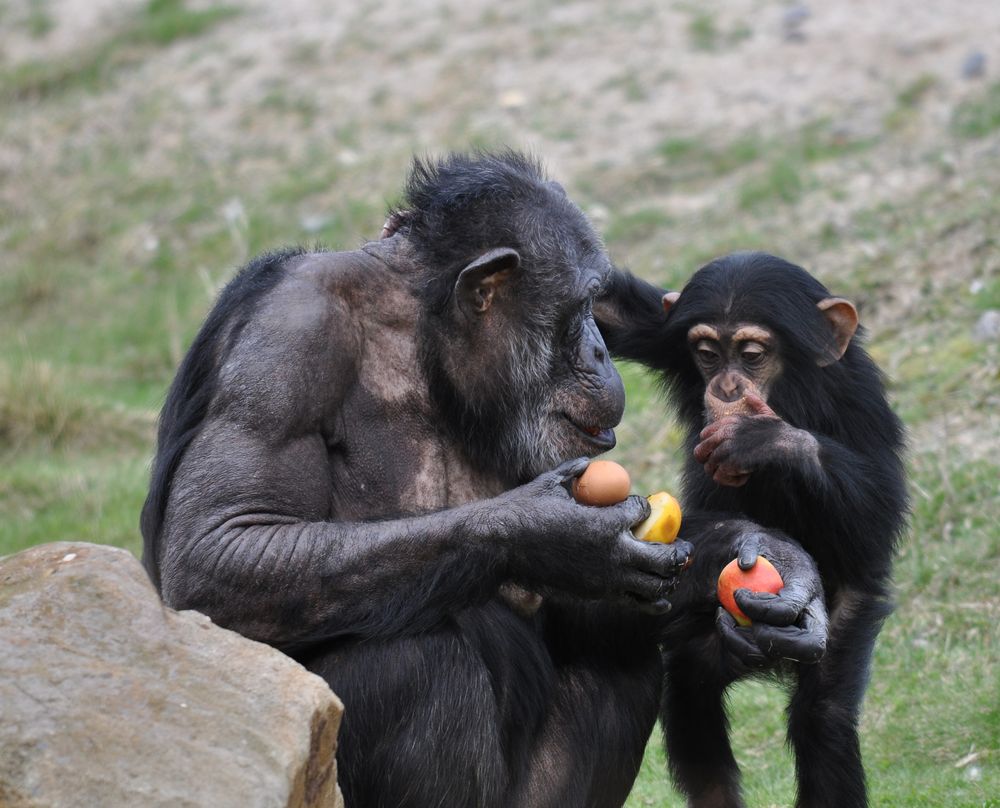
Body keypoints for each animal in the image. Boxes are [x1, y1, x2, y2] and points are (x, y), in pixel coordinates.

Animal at [141, 153, 828, 808]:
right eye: (582, 307)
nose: (600, 349)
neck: (422, 338)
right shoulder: (288, 339)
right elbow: (222, 544)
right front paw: (557, 535)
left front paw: (771, 558)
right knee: (413, 659)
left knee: (619, 657)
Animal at [596, 252, 912, 808]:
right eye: (707, 354)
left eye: (750, 354)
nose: (726, 387)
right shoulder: (664, 334)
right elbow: (602, 306)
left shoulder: (857, 400)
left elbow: (878, 508)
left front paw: (763, 439)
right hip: (712, 630)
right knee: (692, 687)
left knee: (823, 717)